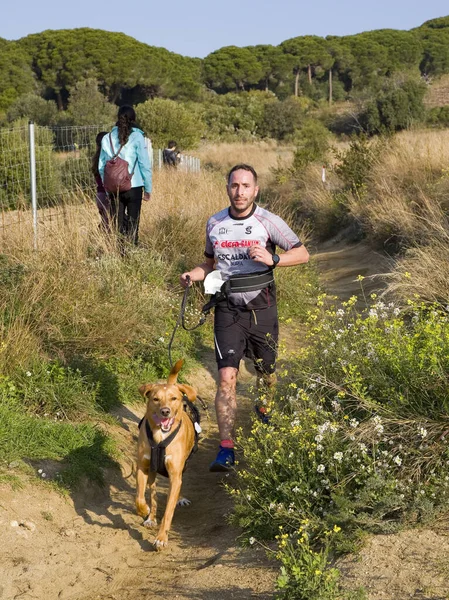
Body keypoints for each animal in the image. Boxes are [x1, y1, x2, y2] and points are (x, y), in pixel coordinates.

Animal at [135, 358, 198, 552]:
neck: (160, 437)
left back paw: (180, 499)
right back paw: (151, 517)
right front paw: (144, 511)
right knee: (153, 495)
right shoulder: (143, 467)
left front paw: (161, 538)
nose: (165, 411)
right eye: (155, 399)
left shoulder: (175, 475)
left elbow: (169, 511)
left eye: (173, 398)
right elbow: (140, 497)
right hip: (153, 473)